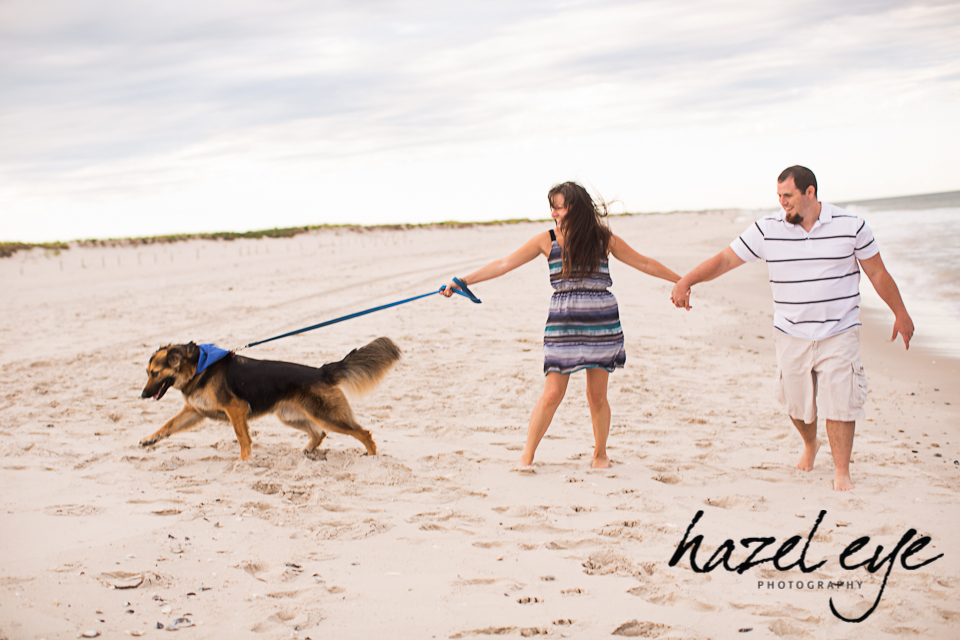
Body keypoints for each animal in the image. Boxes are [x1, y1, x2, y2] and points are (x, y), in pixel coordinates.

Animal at [140, 338, 402, 458]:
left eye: (155, 373)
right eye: (147, 372)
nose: (142, 395)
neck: (199, 367)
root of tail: (321, 371)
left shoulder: (236, 409)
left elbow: (242, 438)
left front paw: (243, 462)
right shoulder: (195, 410)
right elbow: (168, 425)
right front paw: (150, 439)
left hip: (327, 416)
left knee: (363, 432)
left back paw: (372, 457)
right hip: (291, 417)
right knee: (319, 433)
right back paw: (308, 450)